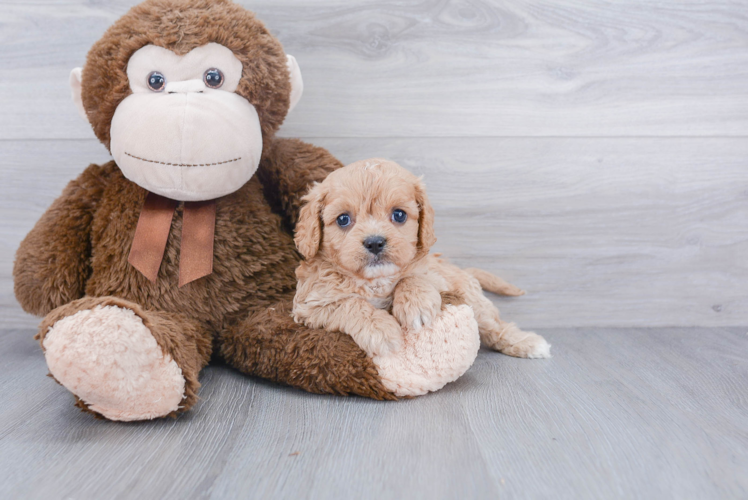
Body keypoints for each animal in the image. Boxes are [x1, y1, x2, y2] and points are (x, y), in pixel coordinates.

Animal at [292, 160, 548, 360]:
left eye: (399, 215)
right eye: (343, 219)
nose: (375, 242)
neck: (376, 281)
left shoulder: (436, 277)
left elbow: (414, 277)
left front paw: (416, 304)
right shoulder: (309, 306)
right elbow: (349, 303)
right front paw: (381, 330)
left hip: (471, 296)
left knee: (494, 326)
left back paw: (528, 343)